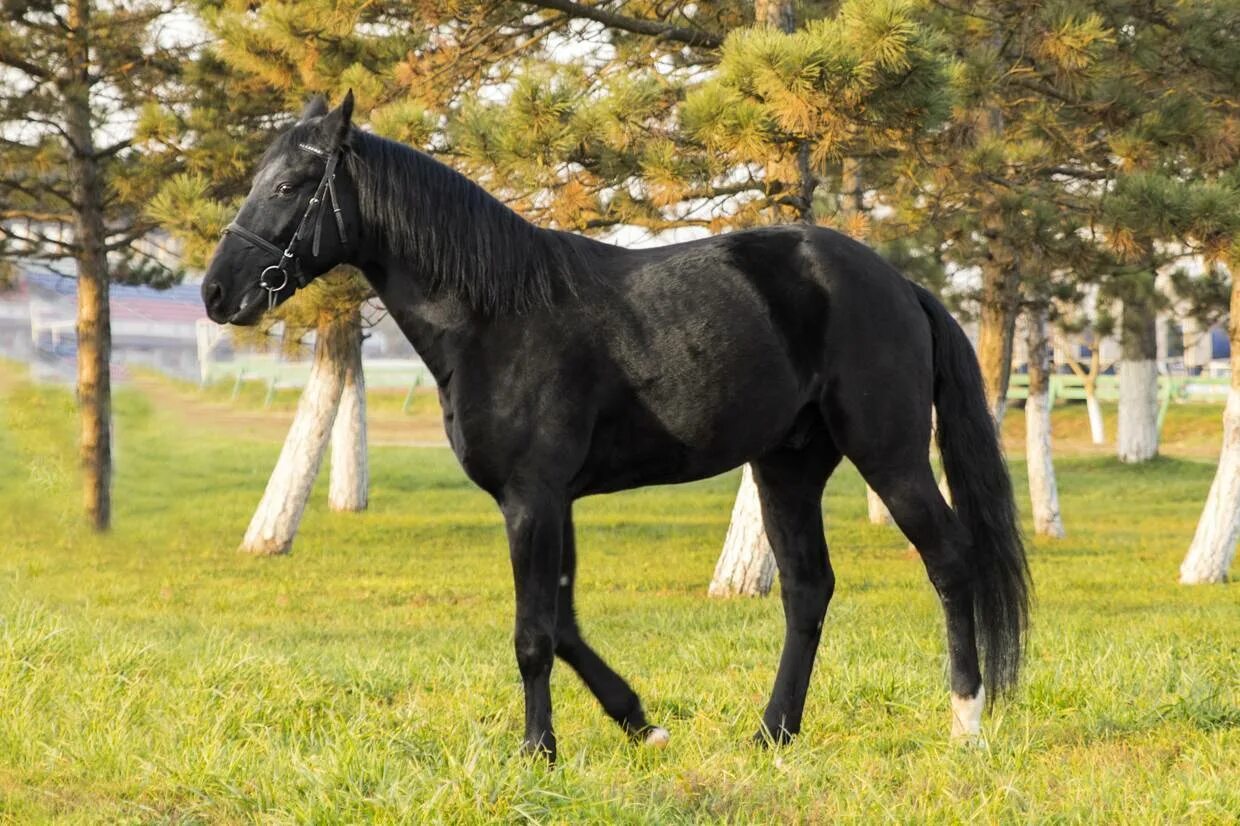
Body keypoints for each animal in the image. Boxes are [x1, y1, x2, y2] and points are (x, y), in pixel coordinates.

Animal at [203, 94, 1031, 759]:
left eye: (288, 185)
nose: (216, 294)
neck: (495, 315)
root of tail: (901, 285)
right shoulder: (551, 501)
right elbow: (564, 622)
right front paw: (641, 723)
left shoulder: (532, 499)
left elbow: (535, 634)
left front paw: (539, 752)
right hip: (787, 468)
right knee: (807, 589)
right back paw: (773, 733)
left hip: (889, 455)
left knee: (951, 562)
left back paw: (965, 724)